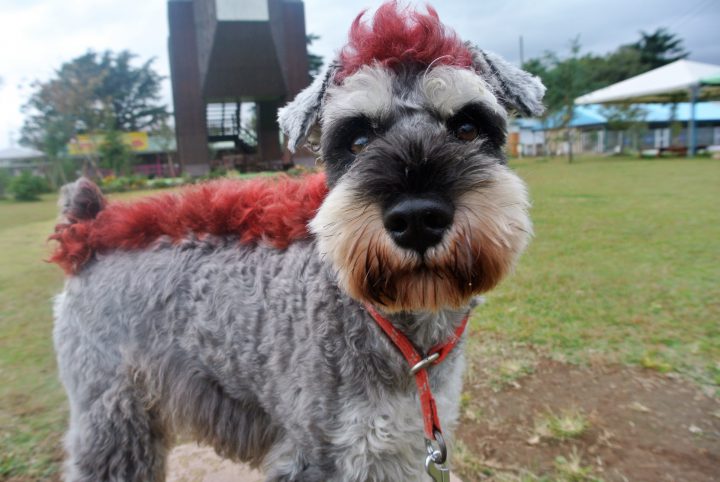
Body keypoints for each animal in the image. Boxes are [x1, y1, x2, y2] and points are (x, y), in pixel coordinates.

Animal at [50, 1, 544, 480]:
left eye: (467, 127)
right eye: (358, 140)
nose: (417, 219)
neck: (404, 335)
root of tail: (87, 231)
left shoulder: (402, 447)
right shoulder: (321, 454)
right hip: (113, 414)